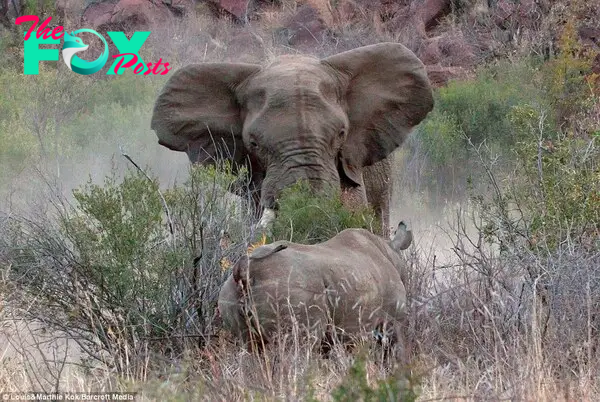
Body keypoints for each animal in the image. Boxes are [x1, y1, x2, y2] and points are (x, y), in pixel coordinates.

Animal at [218, 220, 414, 354]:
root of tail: (242, 269)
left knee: (250, 346)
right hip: (290, 292)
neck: (391, 252)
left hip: (228, 293)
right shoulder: (392, 320)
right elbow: (397, 350)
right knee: (300, 348)